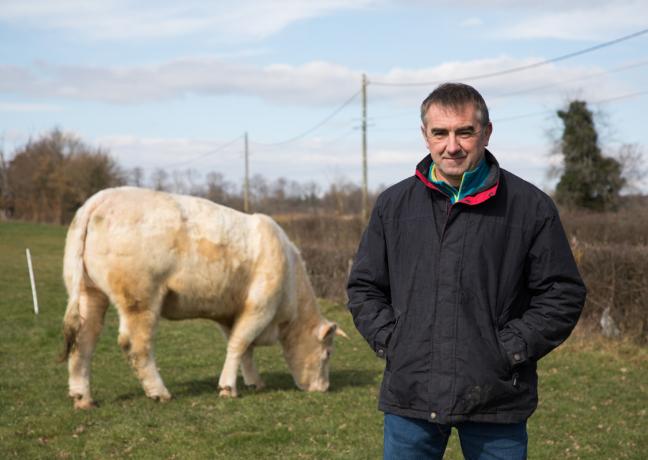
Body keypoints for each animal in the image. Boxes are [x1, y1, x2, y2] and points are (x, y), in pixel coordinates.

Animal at [60, 185, 344, 408]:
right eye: (328, 353)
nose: (324, 388)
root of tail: (102, 197)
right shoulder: (260, 306)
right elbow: (240, 343)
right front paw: (228, 388)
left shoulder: (230, 313)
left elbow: (244, 348)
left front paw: (254, 382)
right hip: (140, 298)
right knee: (136, 344)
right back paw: (159, 392)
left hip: (90, 292)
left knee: (84, 339)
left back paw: (82, 397)